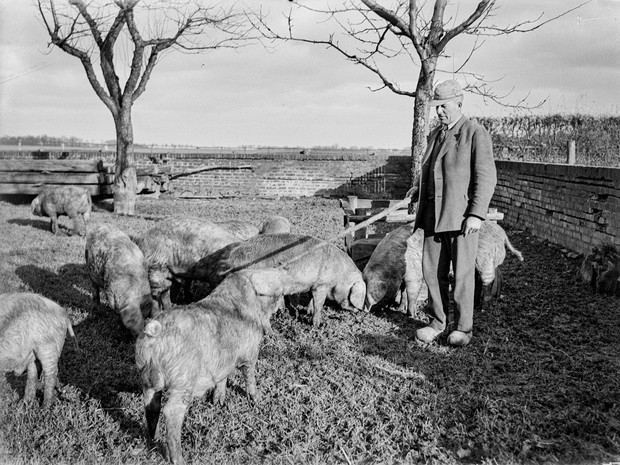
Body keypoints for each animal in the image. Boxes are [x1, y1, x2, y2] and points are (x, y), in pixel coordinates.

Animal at [135, 268, 294, 464]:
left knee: (151, 407)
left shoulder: (223, 361)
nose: (283, 308)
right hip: (183, 378)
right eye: (277, 294)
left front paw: (218, 402)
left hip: (147, 378)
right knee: (171, 412)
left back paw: (154, 440)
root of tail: (154, 335)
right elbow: (249, 375)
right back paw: (179, 459)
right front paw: (257, 399)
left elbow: (222, 378)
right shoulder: (250, 350)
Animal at [186, 232, 366, 326]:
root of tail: (231, 258)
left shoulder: (312, 285)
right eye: (354, 296)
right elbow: (319, 303)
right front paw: (317, 324)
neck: (339, 276)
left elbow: (311, 300)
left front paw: (306, 311)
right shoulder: (321, 284)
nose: (360, 311)